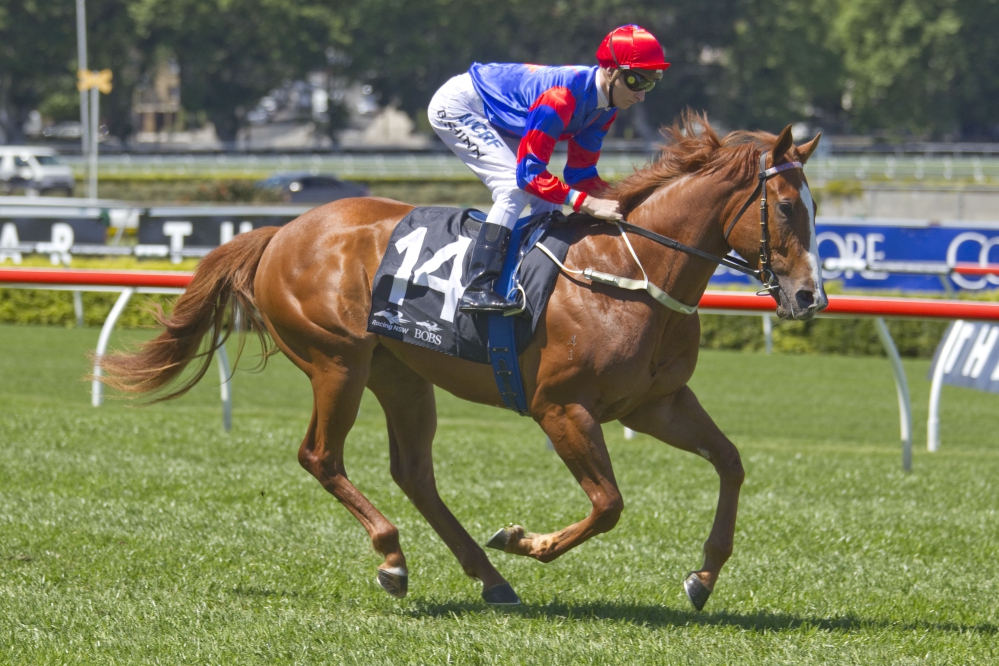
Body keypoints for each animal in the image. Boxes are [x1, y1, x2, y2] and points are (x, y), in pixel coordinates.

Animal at [97, 113, 826, 609]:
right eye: (789, 206)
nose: (808, 296)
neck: (629, 272)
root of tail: (282, 230)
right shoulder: (561, 407)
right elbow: (609, 503)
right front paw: (526, 541)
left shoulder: (655, 404)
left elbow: (730, 462)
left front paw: (703, 575)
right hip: (338, 361)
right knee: (321, 456)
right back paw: (395, 558)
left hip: (400, 373)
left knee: (414, 472)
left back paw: (488, 577)